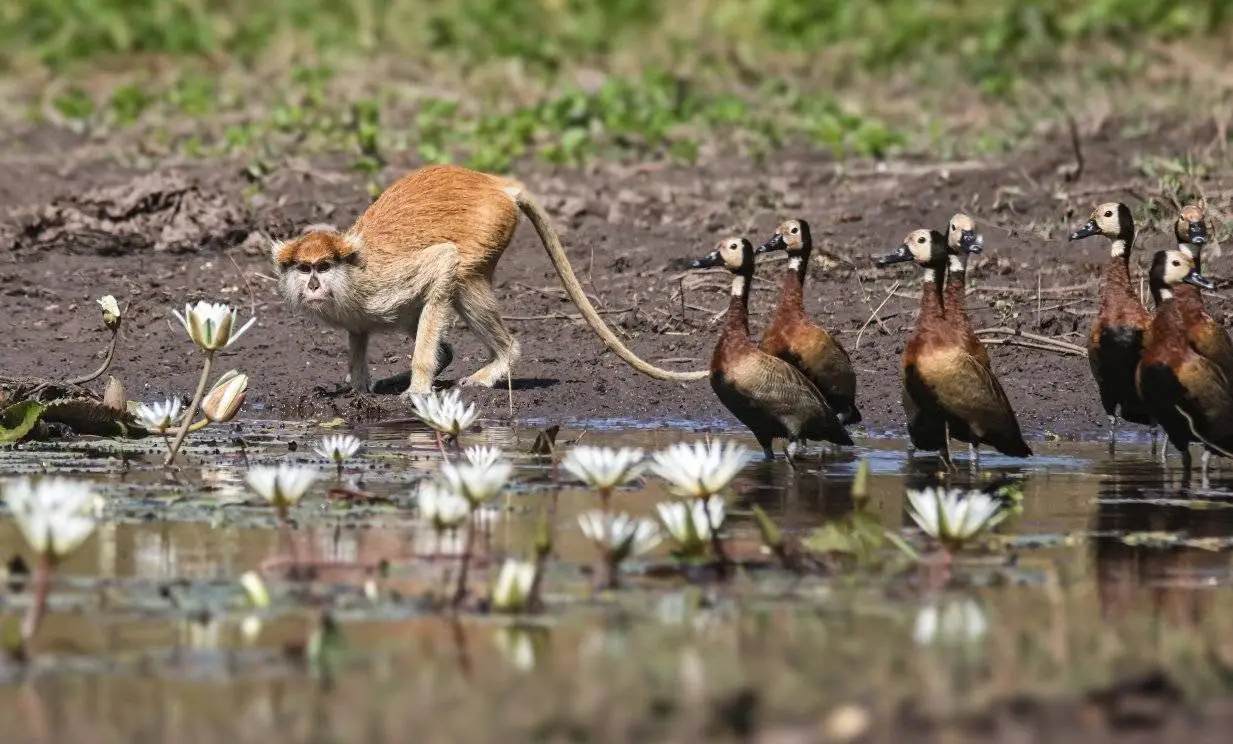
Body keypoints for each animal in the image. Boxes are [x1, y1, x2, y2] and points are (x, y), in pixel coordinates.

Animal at [271, 164, 709, 398]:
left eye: (324, 267)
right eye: (304, 269)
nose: (313, 286)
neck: (352, 272)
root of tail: (494, 183)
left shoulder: (380, 285)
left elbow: (443, 261)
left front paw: (417, 389)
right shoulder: (356, 314)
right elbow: (359, 336)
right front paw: (357, 389)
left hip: (491, 226)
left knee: (464, 278)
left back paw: (498, 362)